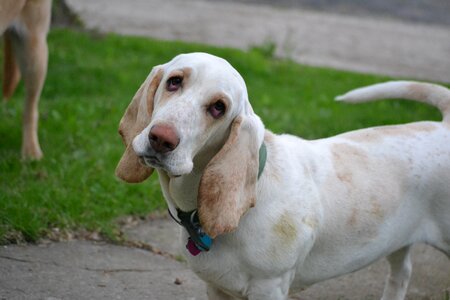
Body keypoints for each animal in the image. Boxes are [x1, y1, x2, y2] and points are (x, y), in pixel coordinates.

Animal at [117, 52, 450, 298]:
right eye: (174, 81)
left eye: (218, 108)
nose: (161, 139)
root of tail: (445, 125)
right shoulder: (217, 288)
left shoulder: (269, 288)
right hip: (397, 241)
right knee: (402, 273)